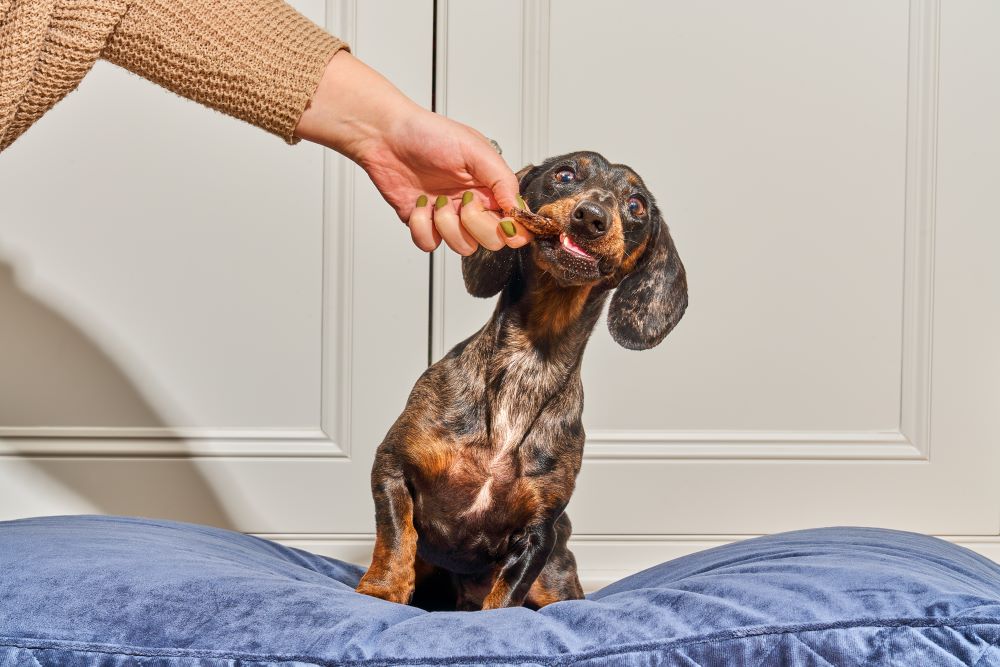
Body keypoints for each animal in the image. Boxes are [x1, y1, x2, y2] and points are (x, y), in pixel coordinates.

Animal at [354, 151, 688, 612]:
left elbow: (506, 596)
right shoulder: (392, 467)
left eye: (636, 205)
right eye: (566, 174)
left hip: (556, 578)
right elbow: (395, 535)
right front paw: (383, 589)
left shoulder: (539, 531)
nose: (592, 217)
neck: (530, 362)